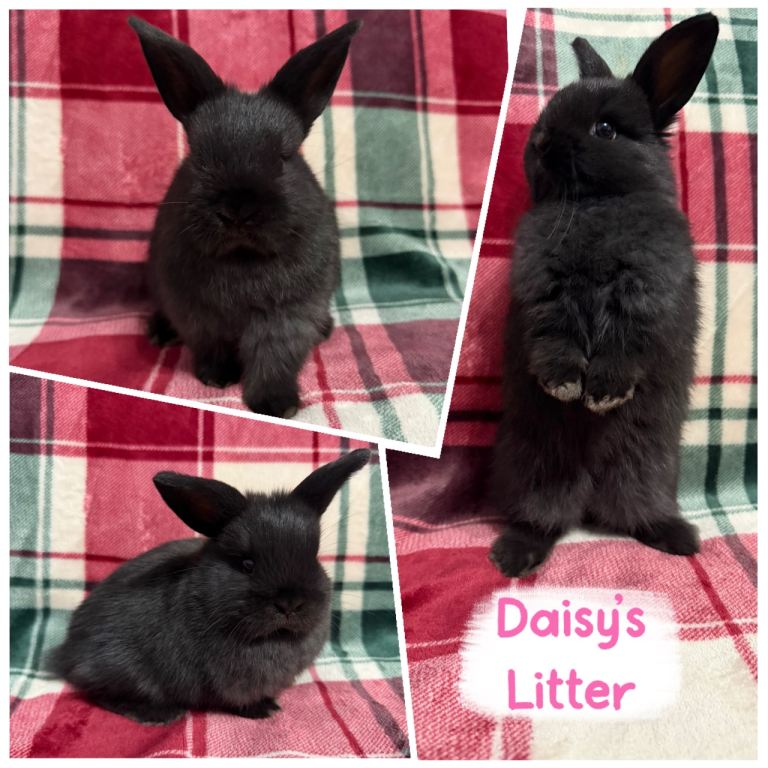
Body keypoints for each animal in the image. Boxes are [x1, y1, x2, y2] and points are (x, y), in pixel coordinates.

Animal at [48, 448, 371, 724]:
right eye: (247, 564)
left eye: (313, 557)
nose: (290, 603)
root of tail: (67, 653)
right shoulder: (231, 683)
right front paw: (264, 709)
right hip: (122, 669)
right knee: (101, 695)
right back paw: (160, 714)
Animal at [128, 16, 362, 418]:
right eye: (199, 159)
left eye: (284, 159)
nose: (237, 209)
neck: (241, 257)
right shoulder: (198, 315)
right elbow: (212, 345)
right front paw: (217, 378)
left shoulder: (287, 316)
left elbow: (274, 356)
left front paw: (276, 406)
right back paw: (159, 332)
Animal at [490, 14, 719, 577]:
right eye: (547, 115)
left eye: (606, 130)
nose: (541, 141)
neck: (596, 203)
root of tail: (589, 496)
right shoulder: (547, 294)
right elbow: (557, 339)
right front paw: (567, 388)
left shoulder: (645, 294)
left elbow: (624, 344)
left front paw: (602, 395)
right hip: (534, 467)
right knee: (542, 518)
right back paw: (513, 555)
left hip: (647, 466)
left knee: (636, 512)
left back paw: (679, 538)